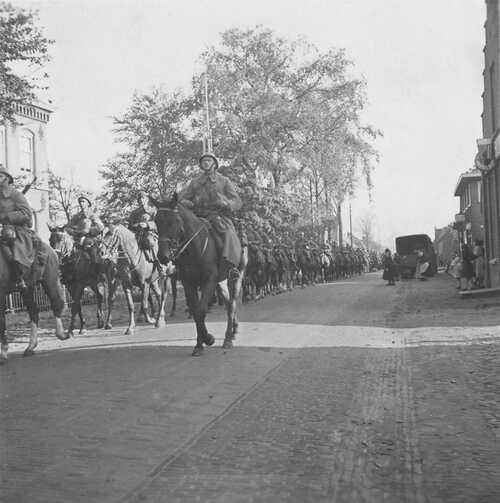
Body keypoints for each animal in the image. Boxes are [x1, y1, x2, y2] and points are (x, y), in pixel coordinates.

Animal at [0, 233, 68, 366]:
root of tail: (51, 250)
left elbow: (1, 322)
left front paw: (3, 354)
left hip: (49, 280)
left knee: (55, 303)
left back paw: (61, 334)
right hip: (28, 288)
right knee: (33, 311)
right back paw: (30, 347)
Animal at [152, 194, 246, 358]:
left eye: (174, 221)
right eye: (157, 220)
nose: (163, 256)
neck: (194, 248)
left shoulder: (209, 280)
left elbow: (201, 310)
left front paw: (208, 339)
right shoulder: (189, 283)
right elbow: (196, 312)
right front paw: (199, 344)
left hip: (236, 277)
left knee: (232, 303)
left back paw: (228, 338)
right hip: (220, 282)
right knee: (228, 303)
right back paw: (233, 330)